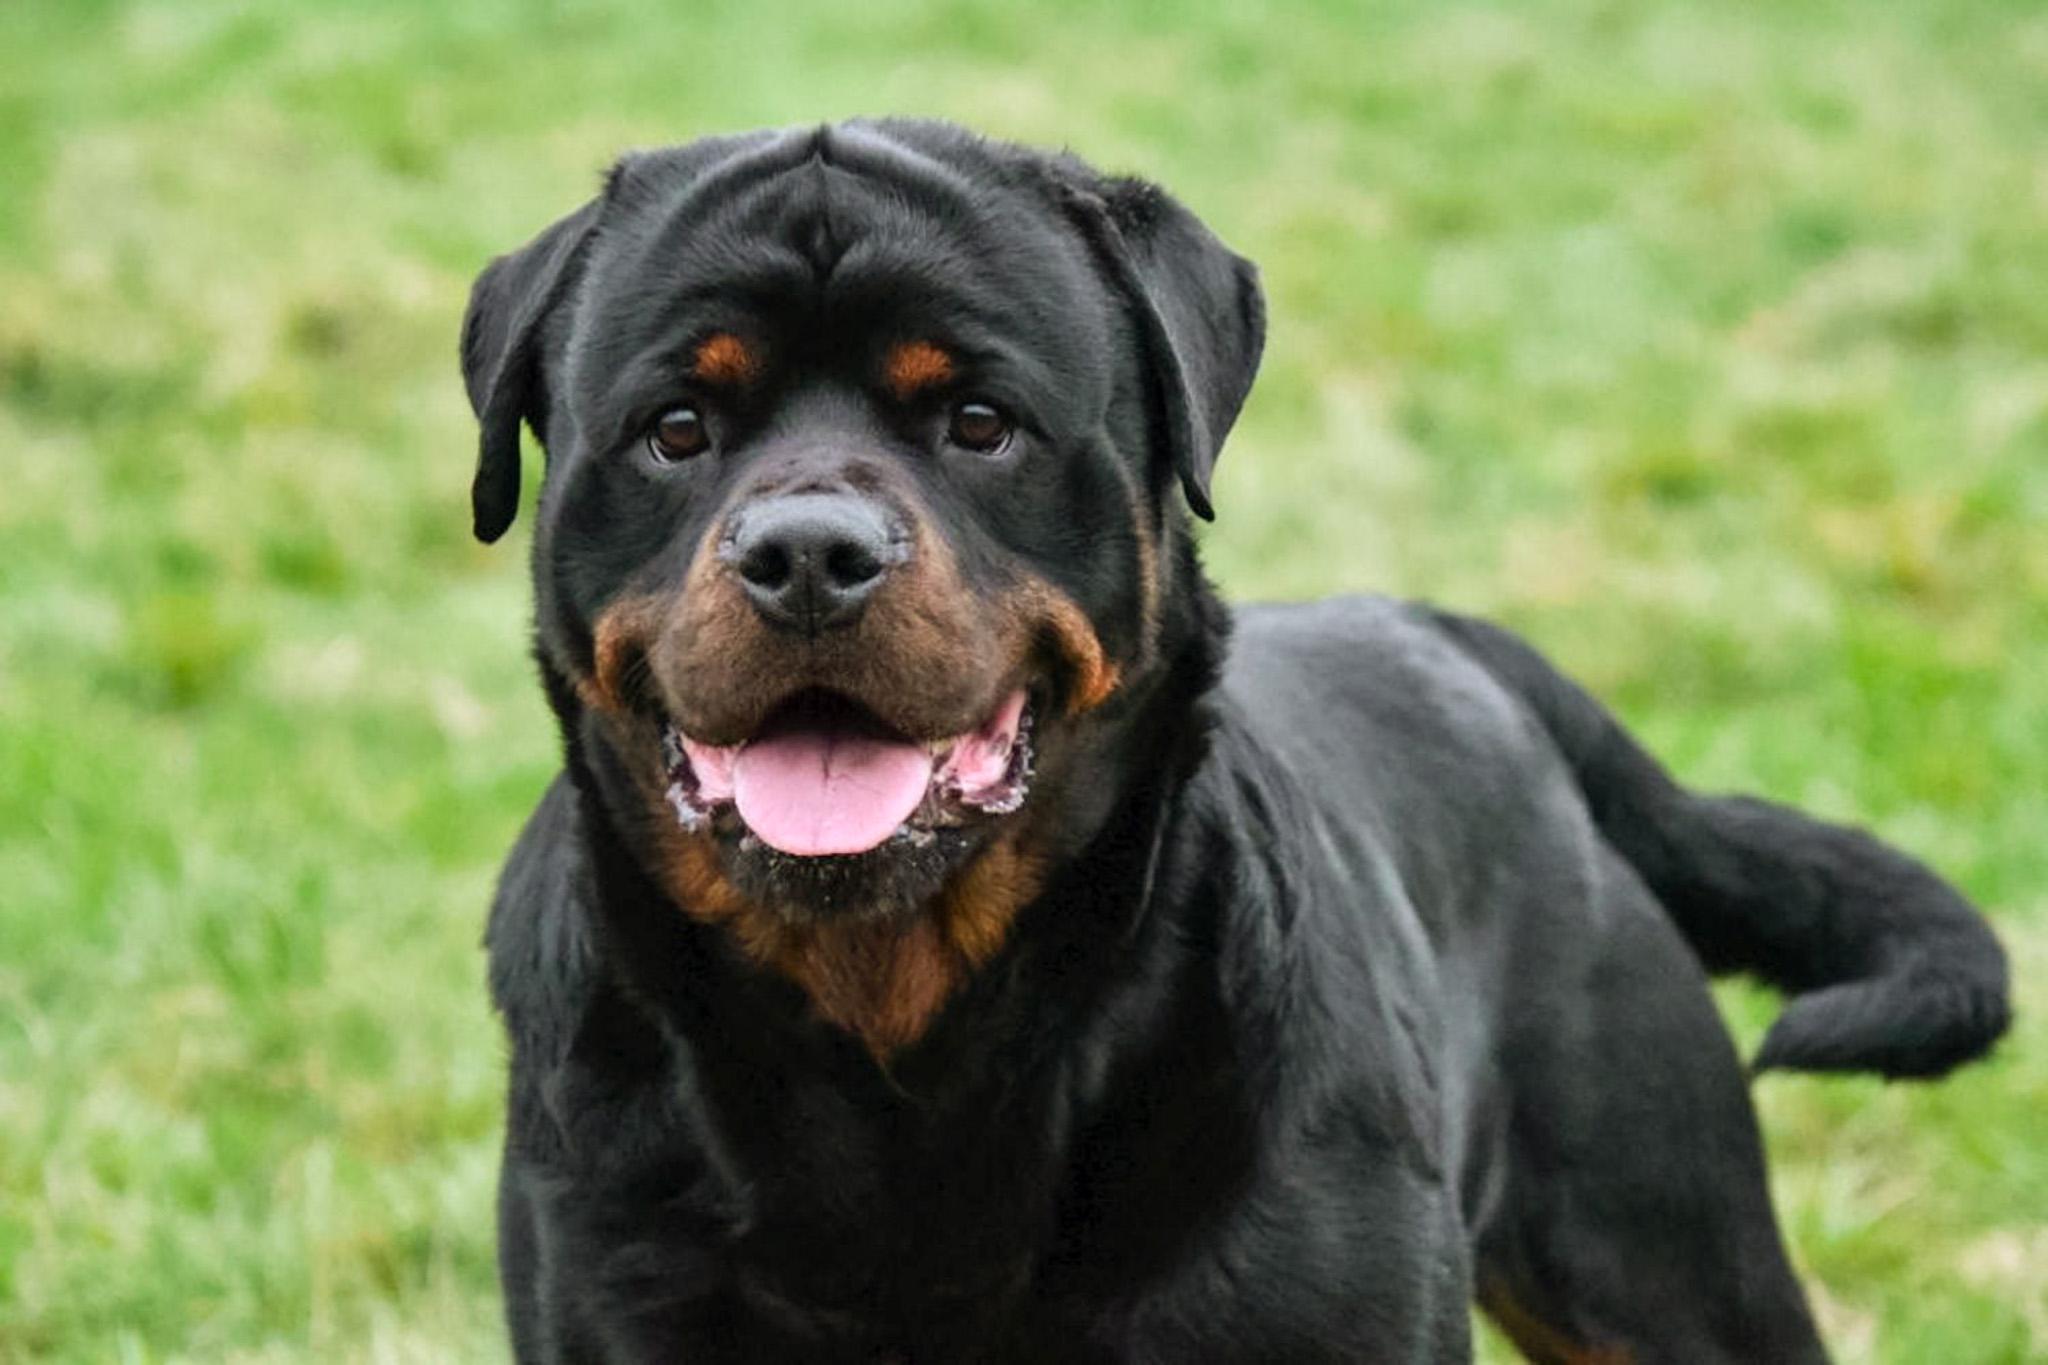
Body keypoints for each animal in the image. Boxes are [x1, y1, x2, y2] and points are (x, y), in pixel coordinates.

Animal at [456, 122, 2007, 1358]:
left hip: (1660, 1250)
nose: (807, 556)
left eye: (979, 420)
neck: (897, 1037)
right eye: (675, 428)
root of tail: (1447, 634)